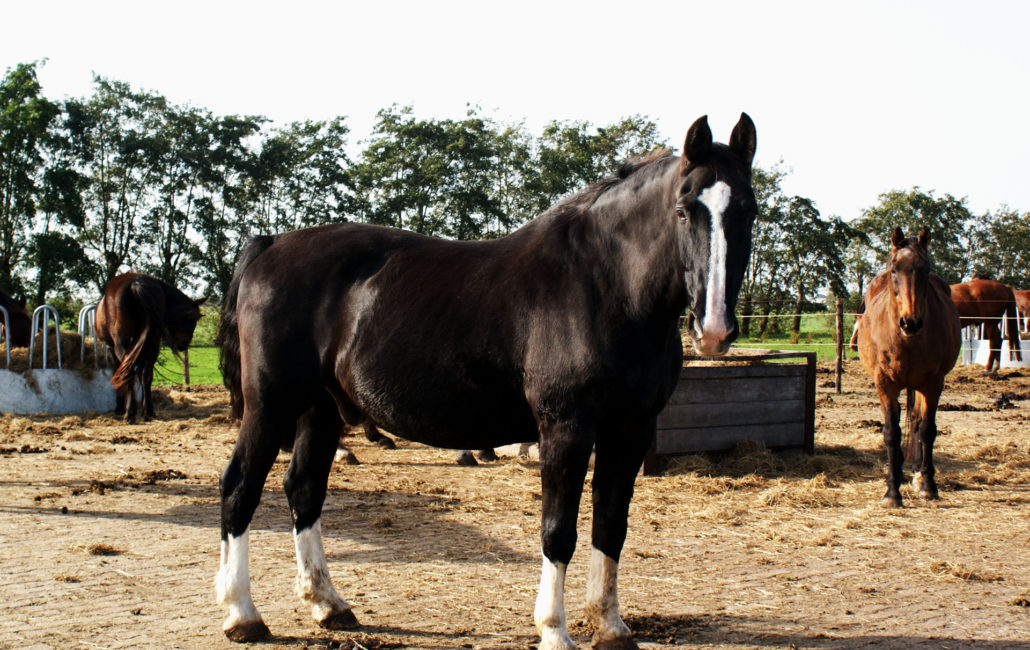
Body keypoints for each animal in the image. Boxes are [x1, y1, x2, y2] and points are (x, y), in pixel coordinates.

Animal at [96, 274, 207, 422]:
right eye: (191, 319)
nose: (184, 344)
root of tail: (135, 283)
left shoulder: (111, 346)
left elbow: (119, 371)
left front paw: (120, 407)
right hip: (152, 343)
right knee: (145, 375)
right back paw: (148, 411)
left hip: (123, 343)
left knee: (129, 371)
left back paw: (130, 412)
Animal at [213, 114, 758, 646]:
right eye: (684, 210)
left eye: (748, 211)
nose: (714, 330)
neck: (606, 287)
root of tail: (270, 246)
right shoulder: (565, 429)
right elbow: (558, 531)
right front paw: (554, 630)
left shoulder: (630, 430)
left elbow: (611, 526)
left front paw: (610, 626)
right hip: (270, 406)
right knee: (241, 487)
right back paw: (243, 615)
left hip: (321, 409)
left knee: (303, 489)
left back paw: (329, 605)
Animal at [856, 227, 959, 508]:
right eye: (895, 269)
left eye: (926, 269)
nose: (910, 323)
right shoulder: (885, 384)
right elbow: (891, 433)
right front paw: (892, 492)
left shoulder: (933, 384)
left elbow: (927, 429)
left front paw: (928, 485)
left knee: (916, 421)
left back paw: (915, 470)